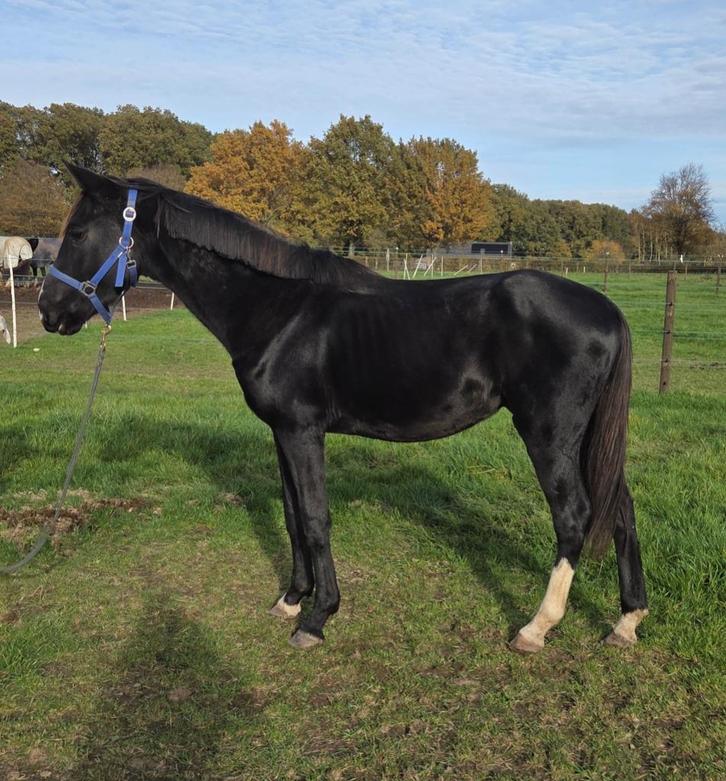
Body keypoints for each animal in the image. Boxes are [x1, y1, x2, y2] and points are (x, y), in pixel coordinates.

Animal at [38, 164, 648, 652]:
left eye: (77, 232)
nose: (48, 312)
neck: (276, 309)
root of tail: (608, 309)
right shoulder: (282, 433)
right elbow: (291, 516)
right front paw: (291, 598)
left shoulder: (303, 430)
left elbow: (315, 517)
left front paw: (316, 619)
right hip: (585, 436)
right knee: (620, 509)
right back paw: (626, 622)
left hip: (549, 433)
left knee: (575, 517)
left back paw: (536, 628)